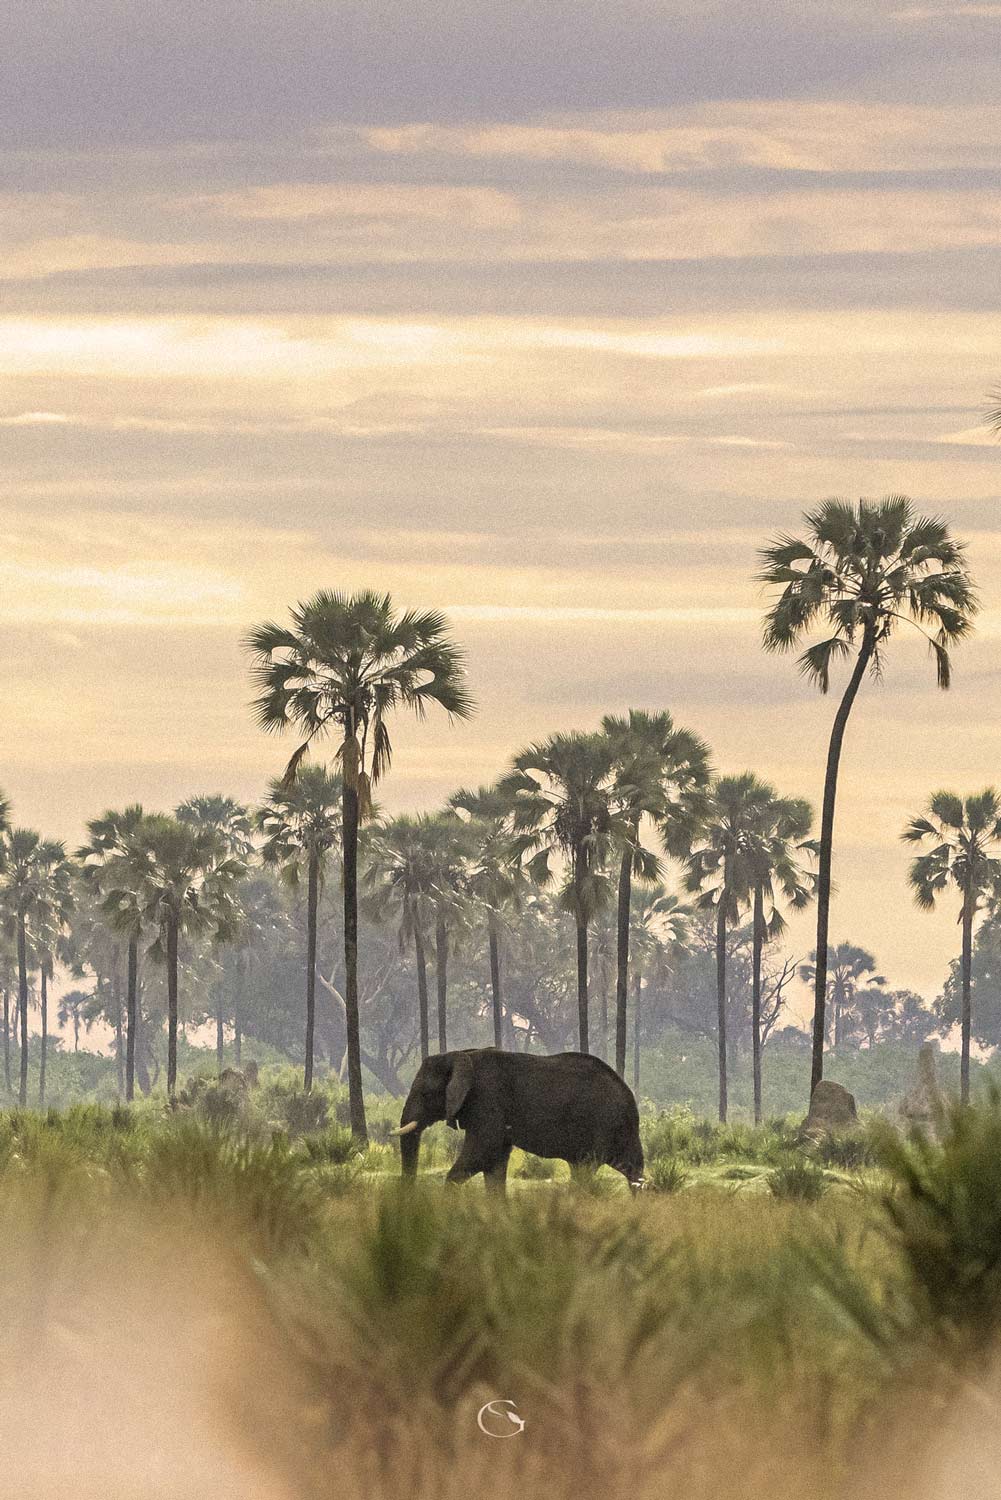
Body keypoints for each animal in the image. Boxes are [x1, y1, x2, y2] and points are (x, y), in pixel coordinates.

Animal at [391, 1048, 644, 1194]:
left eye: (425, 1094)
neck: (460, 1055)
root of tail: (627, 1093)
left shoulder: (487, 1098)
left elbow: (482, 1152)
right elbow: (494, 1161)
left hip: (603, 1123)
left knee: (587, 1167)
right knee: (629, 1168)